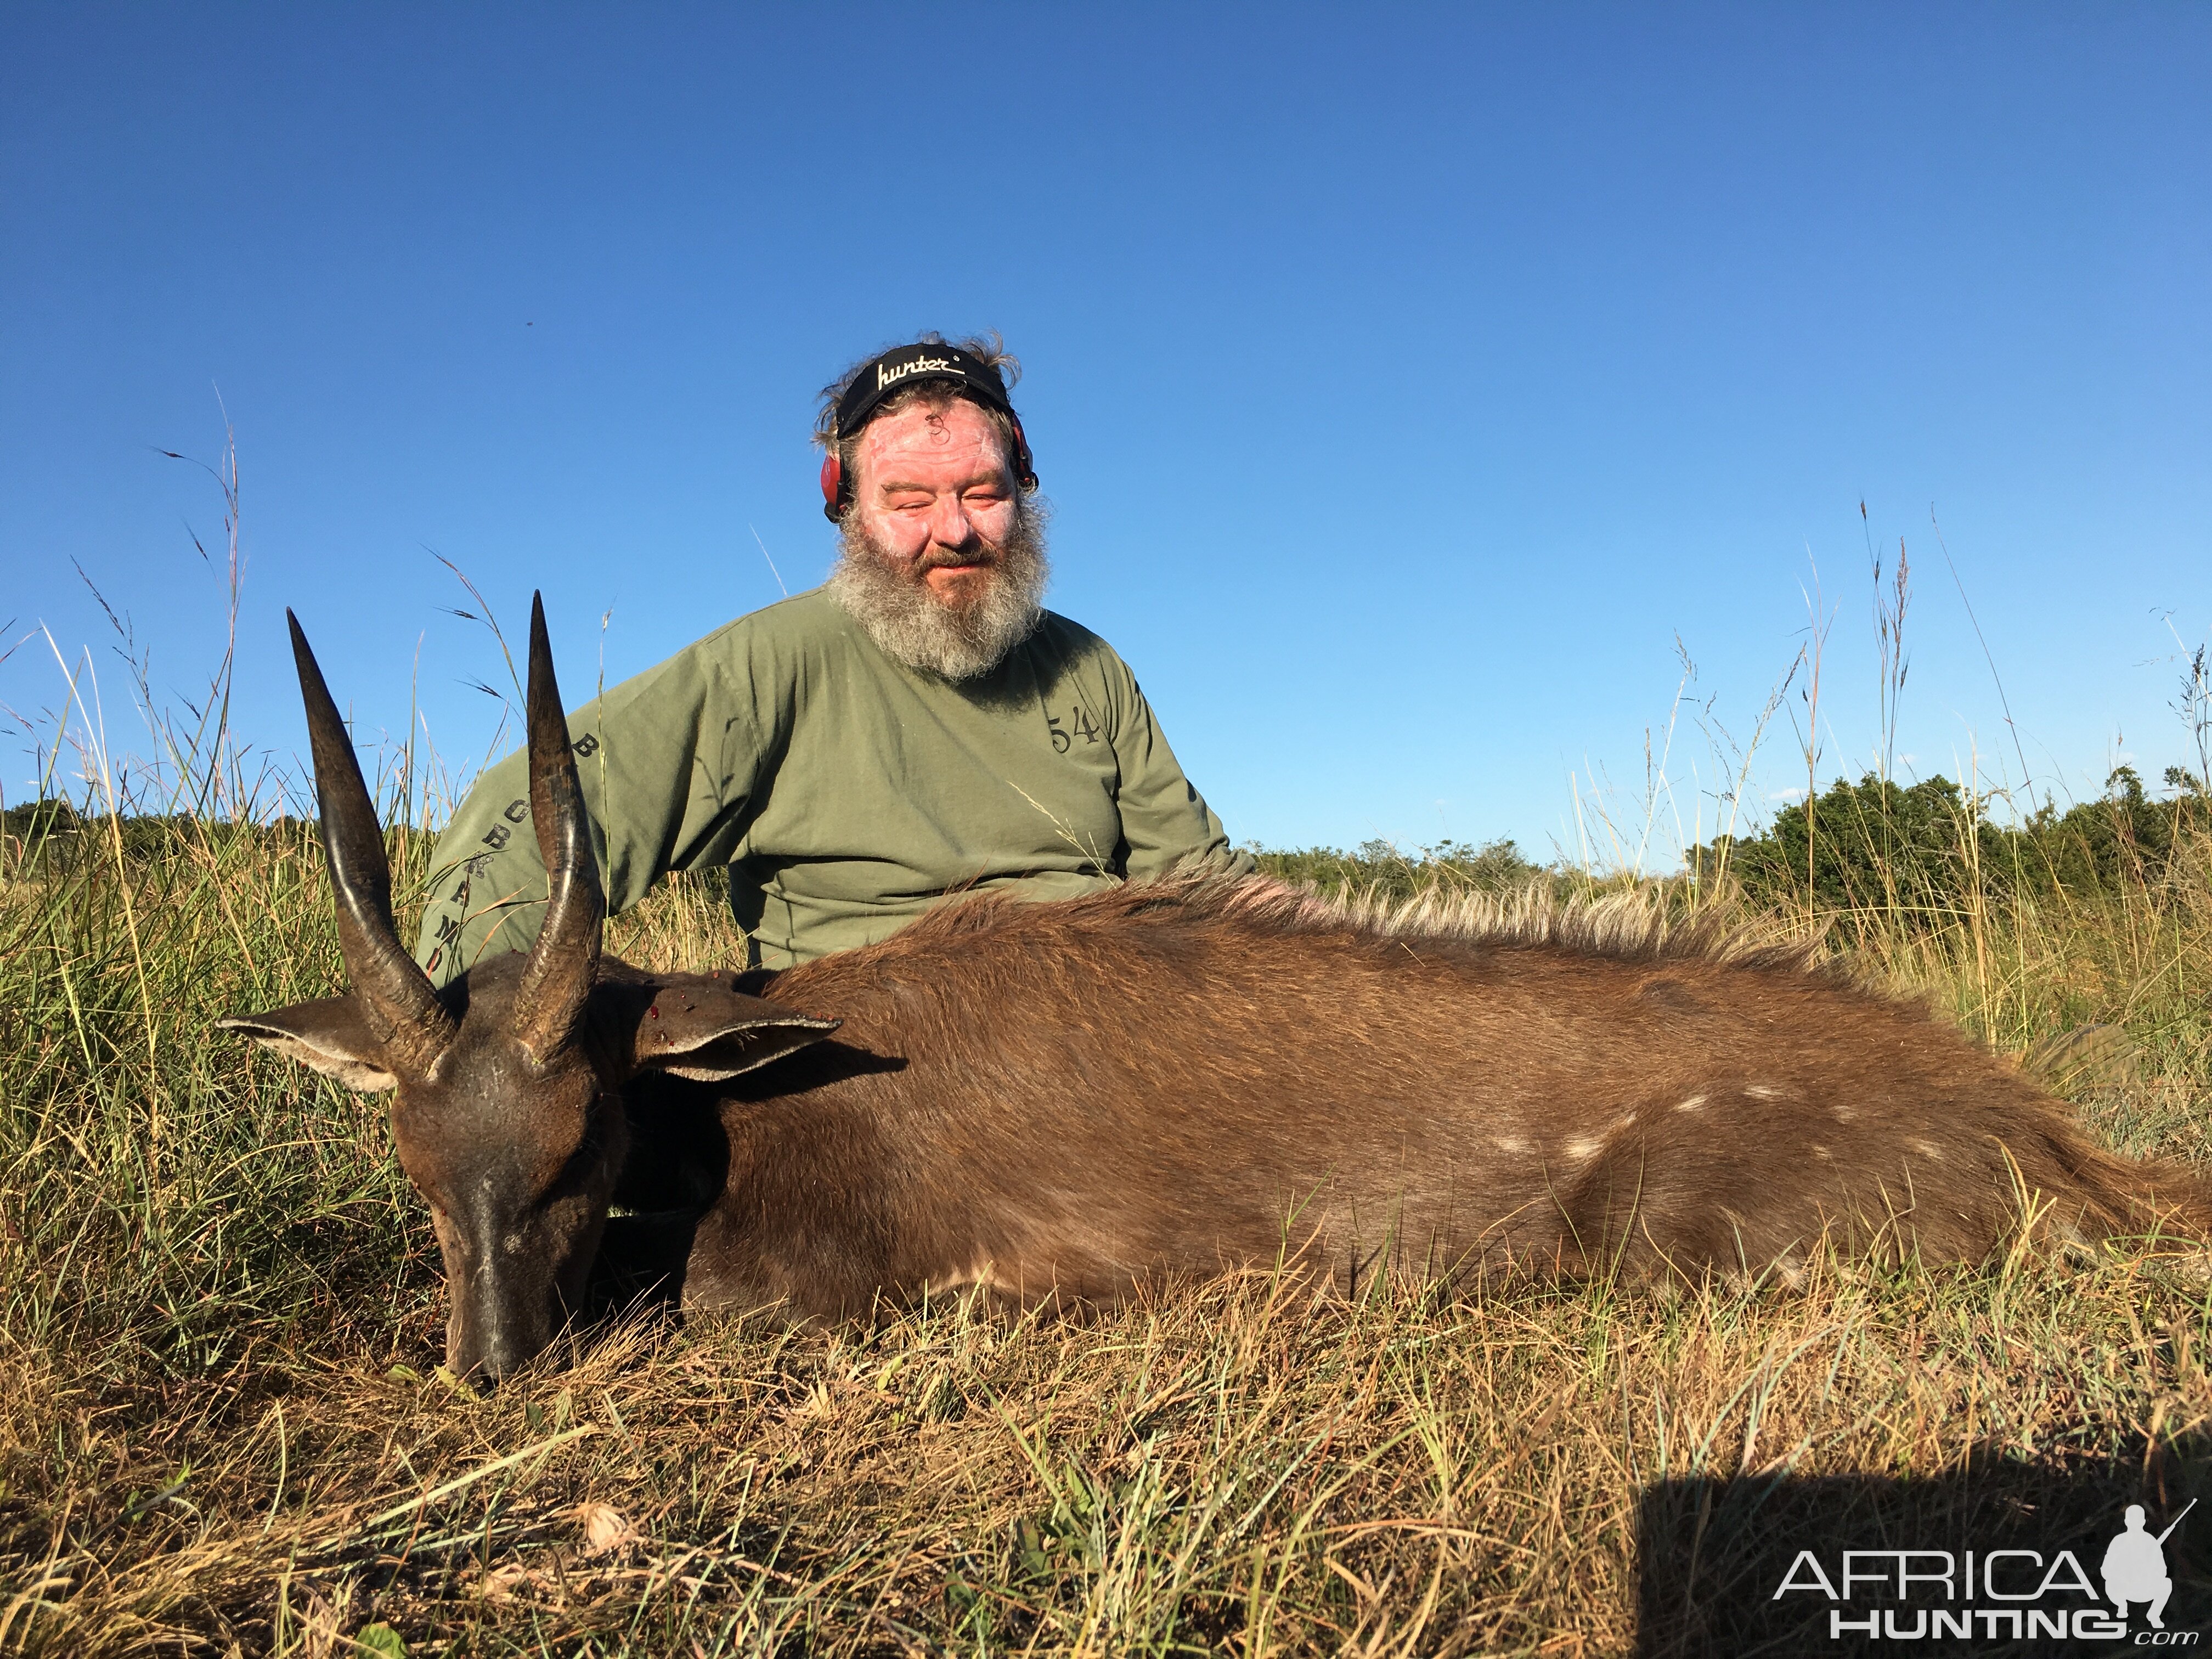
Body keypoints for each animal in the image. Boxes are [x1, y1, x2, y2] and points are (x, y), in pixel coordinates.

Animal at [224, 597, 2212, 1380]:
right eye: (417, 1174)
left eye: (577, 1145)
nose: (488, 1365)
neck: (774, 1121)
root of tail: (2049, 1132)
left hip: (1669, 1233)